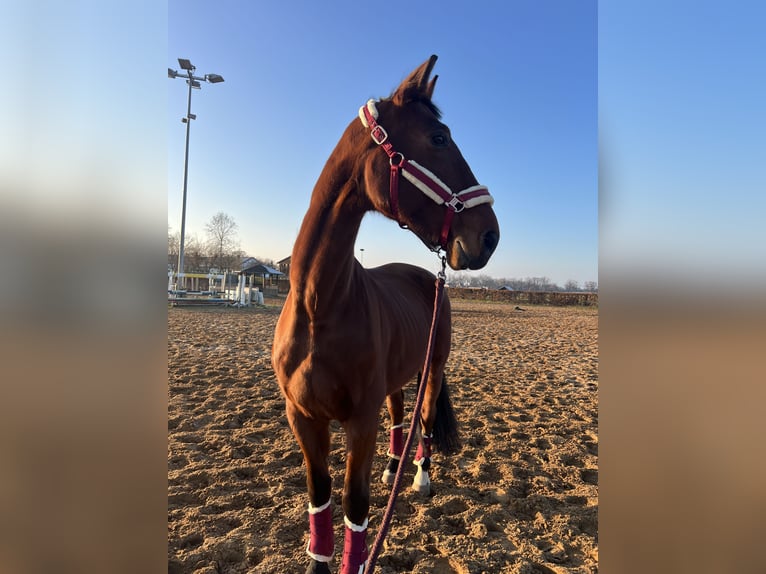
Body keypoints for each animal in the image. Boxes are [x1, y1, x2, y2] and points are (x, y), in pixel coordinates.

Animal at [272, 55, 499, 574]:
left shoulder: (360, 421)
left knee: (424, 415)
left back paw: (418, 476)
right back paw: (394, 467)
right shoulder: (303, 418)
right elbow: (320, 498)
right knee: (400, 414)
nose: (490, 235)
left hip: (433, 367)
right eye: (438, 138)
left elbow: (354, 507)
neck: (319, 306)